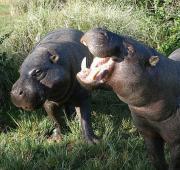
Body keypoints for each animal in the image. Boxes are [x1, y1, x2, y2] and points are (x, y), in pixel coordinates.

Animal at [77, 27, 180, 169]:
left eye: (131, 49)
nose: (100, 29)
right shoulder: (148, 134)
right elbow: (156, 161)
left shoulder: (177, 143)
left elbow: (174, 164)